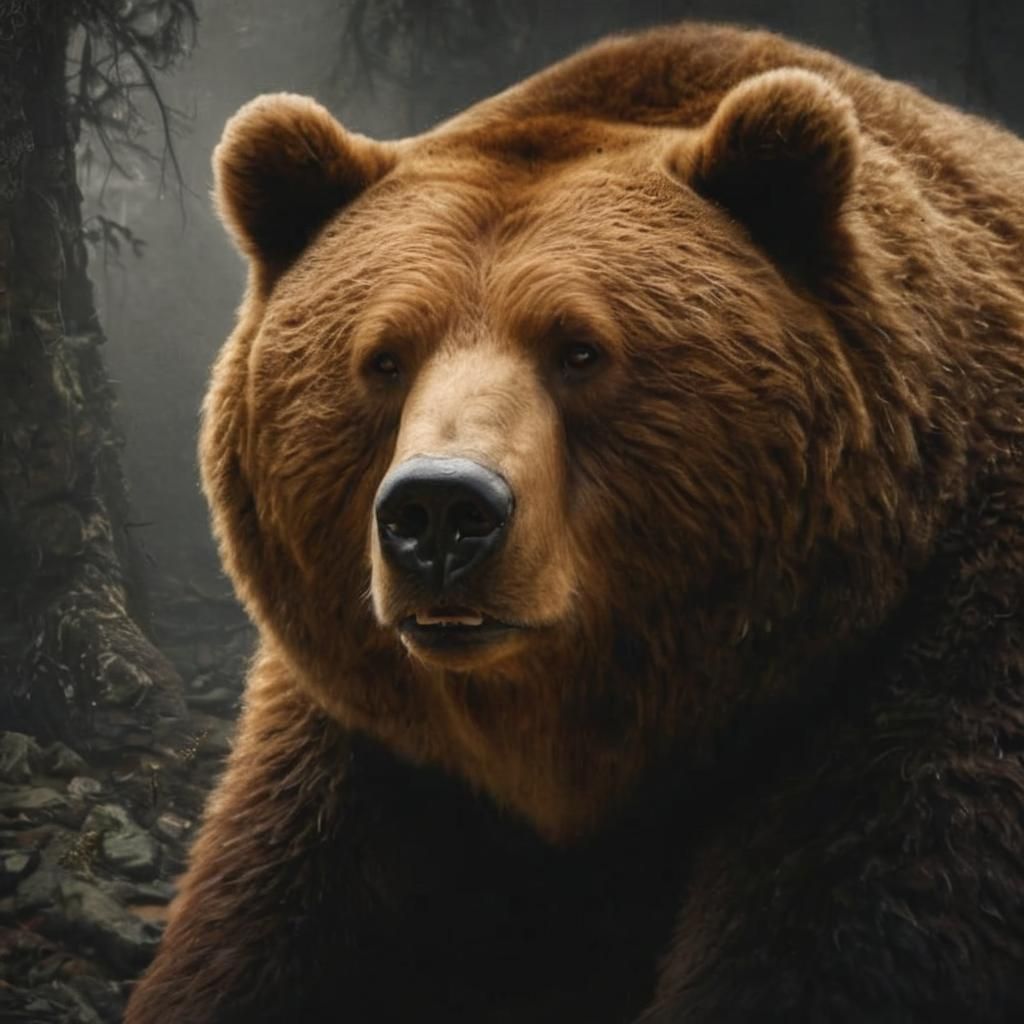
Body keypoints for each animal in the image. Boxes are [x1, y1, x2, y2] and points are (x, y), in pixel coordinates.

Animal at [125, 21, 1024, 1024]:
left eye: (581, 349)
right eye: (384, 357)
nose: (442, 511)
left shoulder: (926, 678)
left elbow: (852, 929)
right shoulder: (368, 757)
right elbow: (270, 935)